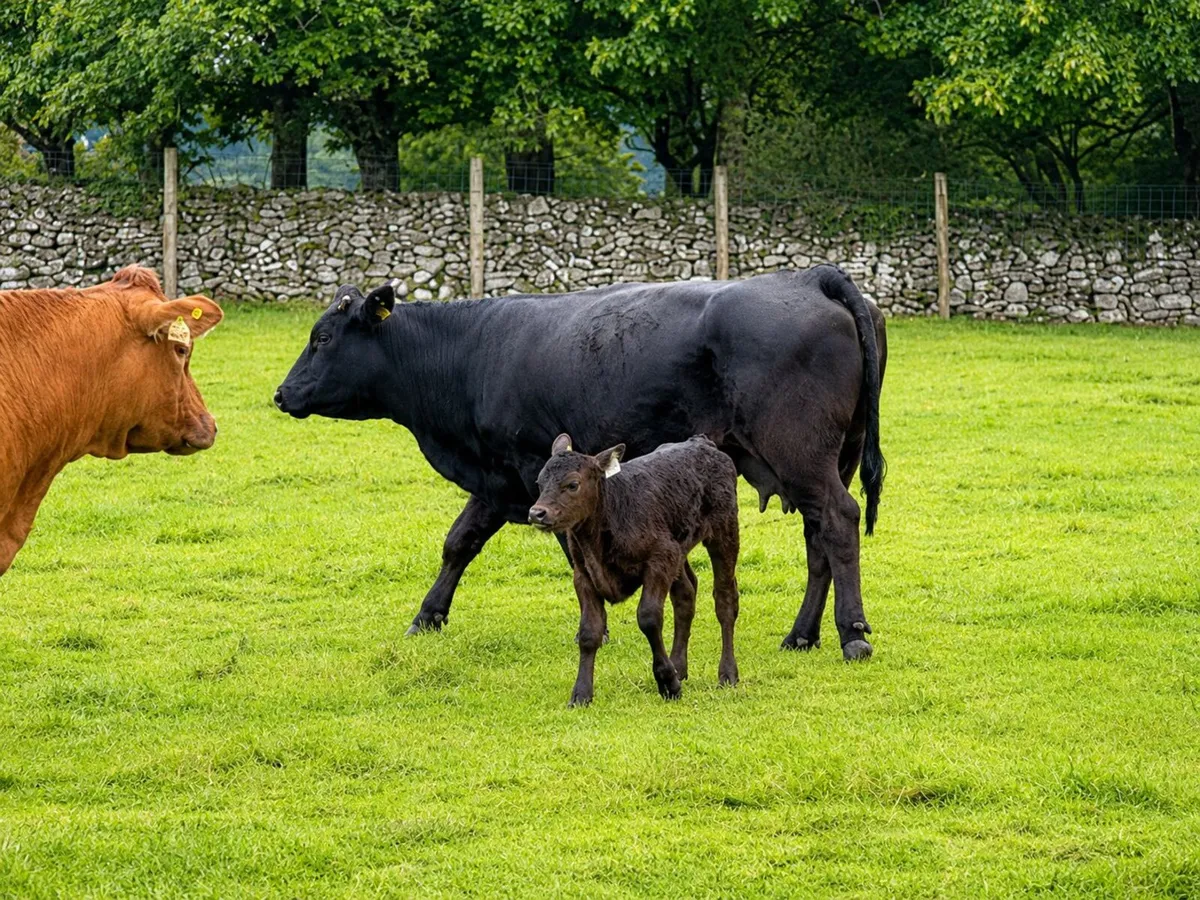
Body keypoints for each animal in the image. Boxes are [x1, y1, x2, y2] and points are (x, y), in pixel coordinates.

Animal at [275, 266, 886, 660]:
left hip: (800, 453)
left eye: (322, 338)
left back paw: (852, 632)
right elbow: (459, 542)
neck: (471, 352)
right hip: (824, 460)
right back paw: (802, 634)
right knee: (819, 540)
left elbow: (565, 551)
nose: (282, 394)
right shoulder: (500, 478)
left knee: (838, 521)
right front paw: (428, 617)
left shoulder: (532, 471)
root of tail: (809, 276)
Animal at [530, 434, 740, 706]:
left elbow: (649, 618)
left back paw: (727, 673)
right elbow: (589, 631)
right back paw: (679, 666)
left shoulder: (659, 559)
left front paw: (668, 683)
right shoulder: (583, 575)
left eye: (572, 484)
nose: (537, 513)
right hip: (678, 547)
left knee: (725, 599)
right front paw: (581, 693)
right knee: (685, 594)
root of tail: (701, 442)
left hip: (724, 531)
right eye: (539, 482)